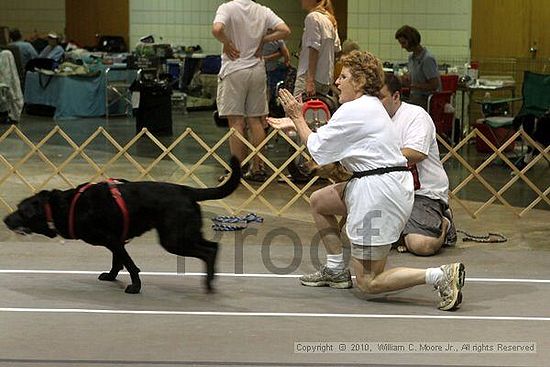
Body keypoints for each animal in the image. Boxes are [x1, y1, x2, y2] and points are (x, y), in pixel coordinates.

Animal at [3, 157, 242, 294]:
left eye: (22, 211)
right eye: (17, 207)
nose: (5, 219)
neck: (67, 206)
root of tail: (187, 190)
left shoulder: (112, 240)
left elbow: (130, 265)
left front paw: (135, 287)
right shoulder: (117, 241)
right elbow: (117, 262)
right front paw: (111, 277)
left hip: (174, 239)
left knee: (208, 251)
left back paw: (208, 284)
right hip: (186, 233)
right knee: (213, 247)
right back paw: (211, 279)